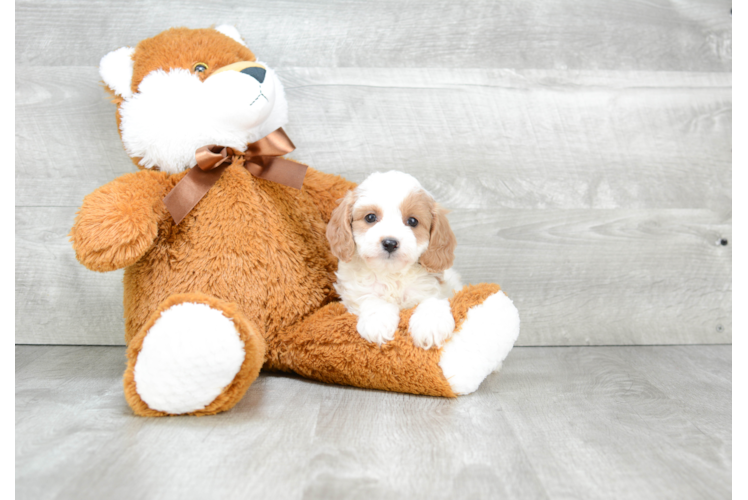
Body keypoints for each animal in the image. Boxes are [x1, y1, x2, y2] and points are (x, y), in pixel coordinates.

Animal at [328, 171, 462, 348]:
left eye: (412, 221)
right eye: (370, 217)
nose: (390, 243)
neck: (391, 274)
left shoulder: (436, 287)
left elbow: (432, 300)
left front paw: (431, 324)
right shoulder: (354, 293)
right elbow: (371, 298)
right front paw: (378, 322)